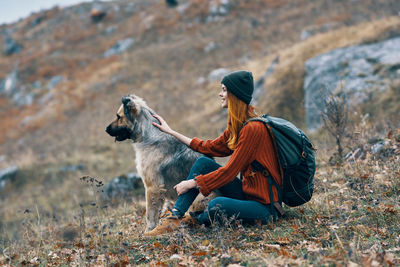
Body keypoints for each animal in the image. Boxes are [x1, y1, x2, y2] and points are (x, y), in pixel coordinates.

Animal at [104, 94, 205, 232]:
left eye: (118, 117)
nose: (106, 129)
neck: (147, 135)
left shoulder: (152, 186)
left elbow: (150, 213)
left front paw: (149, 230)